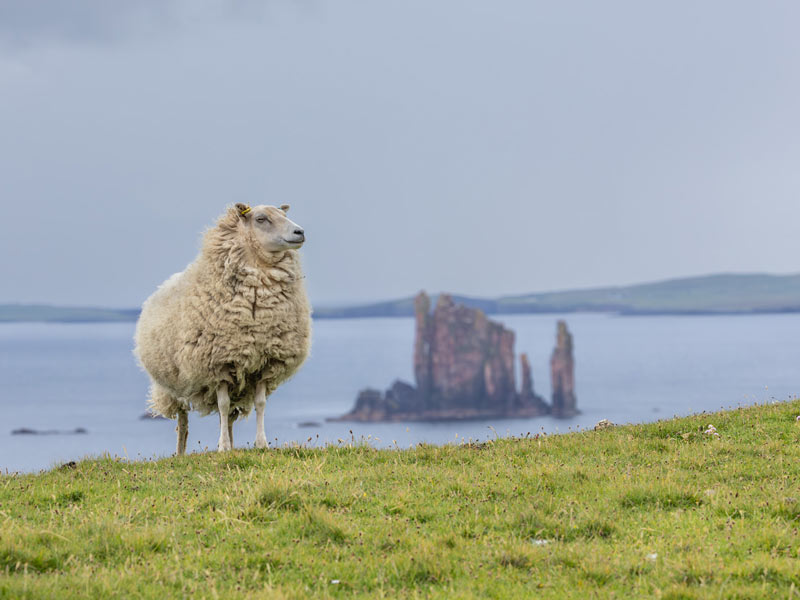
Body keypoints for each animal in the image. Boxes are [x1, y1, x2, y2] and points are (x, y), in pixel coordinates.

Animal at [134, 203, 312, 454]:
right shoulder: (217, 365)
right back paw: (181, 453)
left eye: (284, 215)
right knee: (183, 420)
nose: (300, 232)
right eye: (261, 219)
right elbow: (223, 404)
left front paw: (261, 443)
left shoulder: (264, 363)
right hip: (173, 386)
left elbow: (260, 404)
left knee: (225, 418)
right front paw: (223, 447)